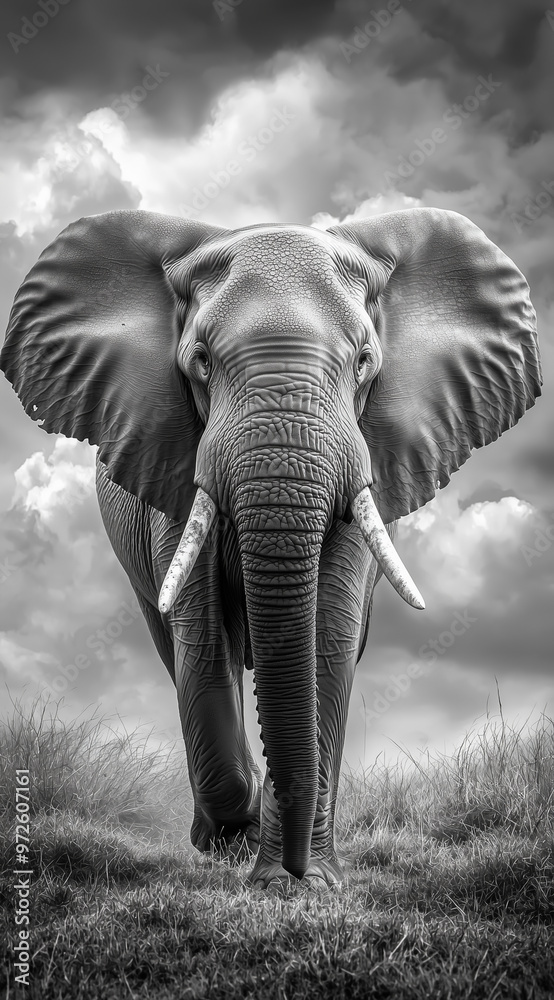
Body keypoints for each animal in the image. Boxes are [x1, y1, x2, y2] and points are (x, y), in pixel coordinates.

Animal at [1, 207, 541, 888]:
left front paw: (304, 884)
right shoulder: (172, 459)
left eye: (364, 362)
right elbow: (202, 635)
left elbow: (330, 635)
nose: (292, 866)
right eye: (201, 361)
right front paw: (246, 843)